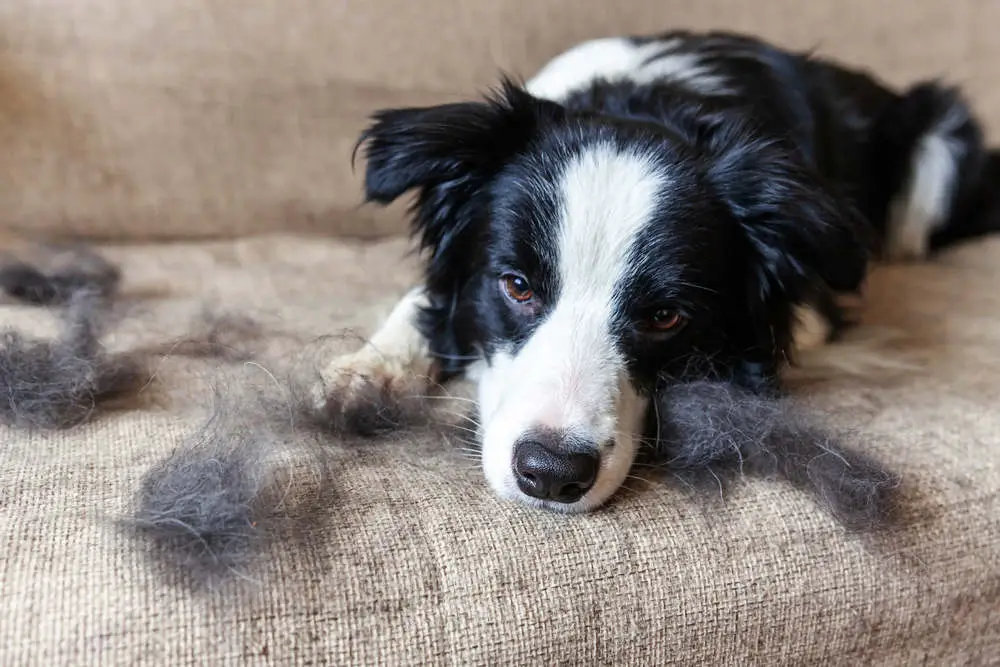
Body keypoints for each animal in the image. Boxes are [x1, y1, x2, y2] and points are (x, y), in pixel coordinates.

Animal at [318, 30, 1000, 512]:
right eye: (516, 286)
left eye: (666, 316)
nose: (551, 476)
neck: (648, 105)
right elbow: (423, 301)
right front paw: (370, 373)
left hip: (939, 145)